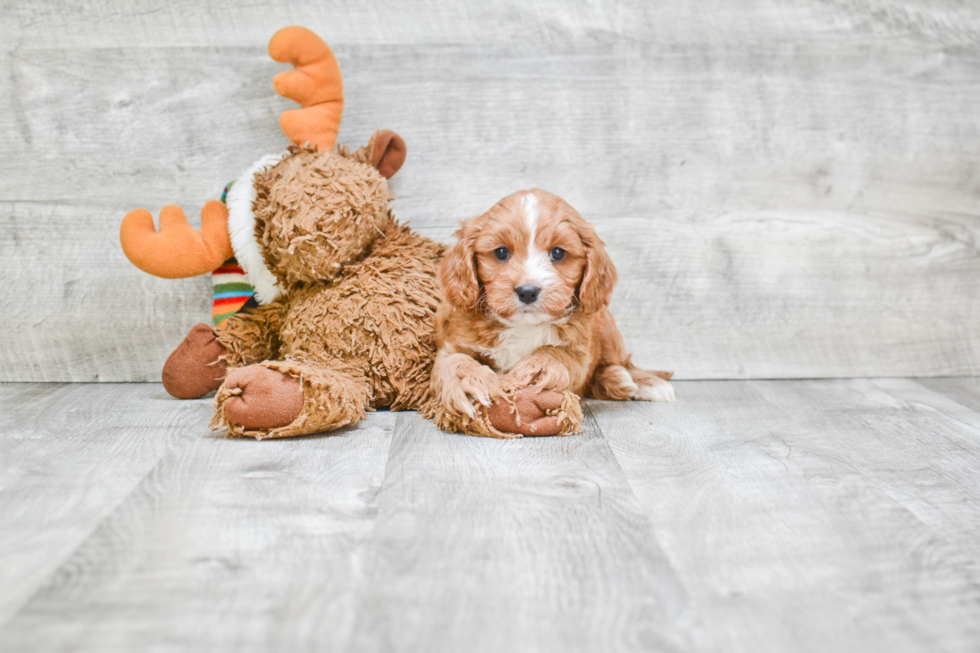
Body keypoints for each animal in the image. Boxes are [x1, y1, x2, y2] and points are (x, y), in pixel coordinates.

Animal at [434, 186, 672, 436]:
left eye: (558, 253)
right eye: (501, 252)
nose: (527, 291)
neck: (522, 327)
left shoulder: (580, 348)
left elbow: (560, 353)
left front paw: (540, 367)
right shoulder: (455, 340)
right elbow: (453, 359)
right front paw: (468, 383)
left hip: (608, 328)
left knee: (623, 363)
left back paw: (637, 382)